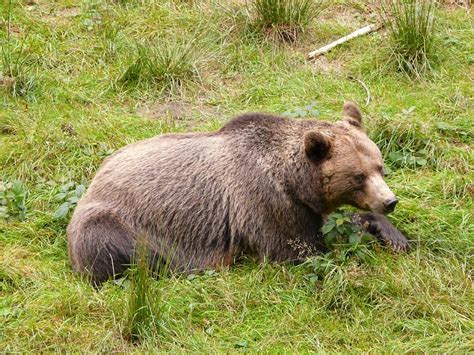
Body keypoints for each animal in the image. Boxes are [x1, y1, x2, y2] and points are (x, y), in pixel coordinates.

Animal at [66, 101, 408, 286]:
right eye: (358, 176)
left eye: (379, 166)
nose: (389, 201)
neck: (294, 182)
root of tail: (95, 179)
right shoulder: (265, 202)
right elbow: (300, 250)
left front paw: (394, 236)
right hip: (115, 221)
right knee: (127, 251)